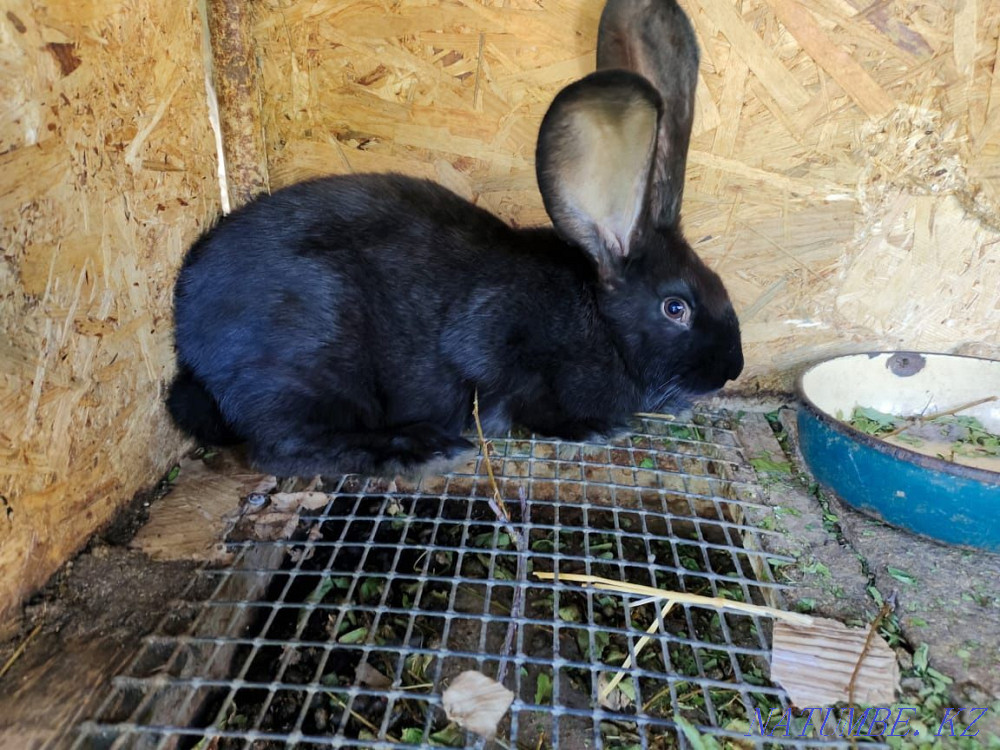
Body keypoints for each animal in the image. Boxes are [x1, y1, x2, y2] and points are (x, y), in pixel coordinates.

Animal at [166, 0, 743, 478]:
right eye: (675, 308)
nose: (732, 370)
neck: (599, 321)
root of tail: (189, 338)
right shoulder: (493, 343)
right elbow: (520, 396)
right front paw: (595, 426)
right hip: (310, 357)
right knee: (283, 449)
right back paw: (422, 449)